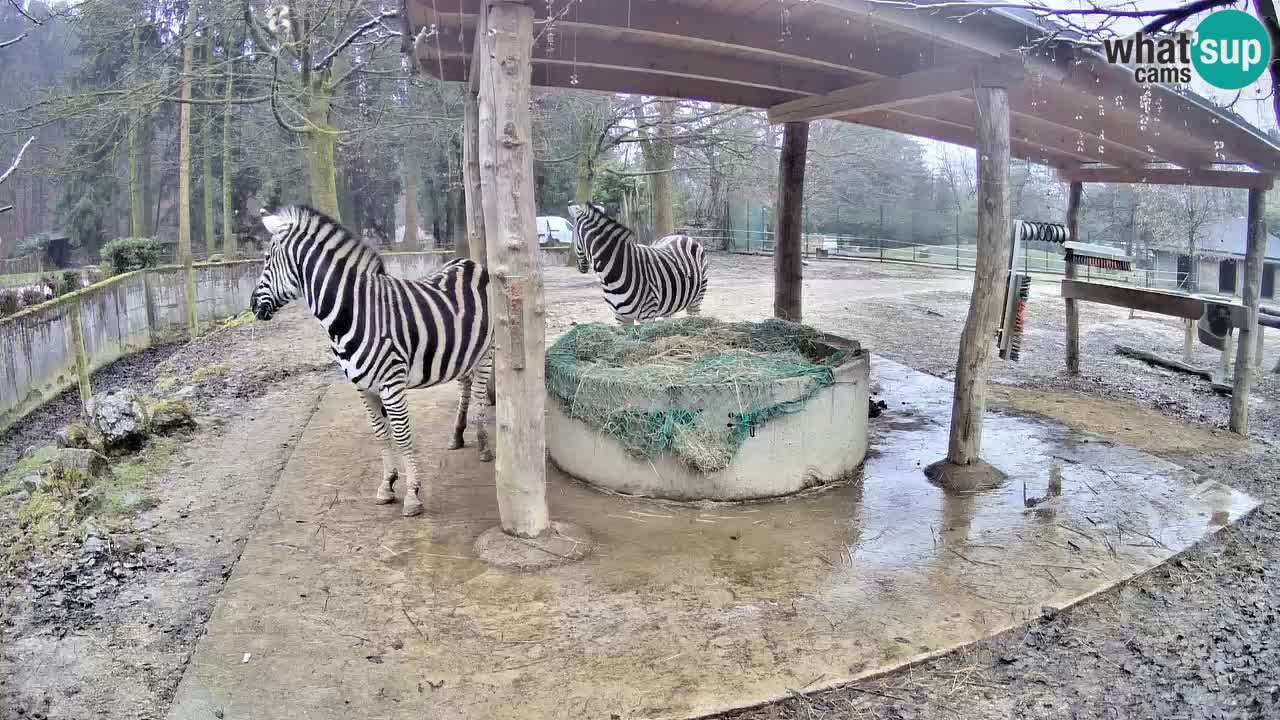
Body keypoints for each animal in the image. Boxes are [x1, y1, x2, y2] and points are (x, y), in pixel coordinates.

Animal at [250, 204, 494, 512]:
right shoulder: (362, 386)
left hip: (487, 351)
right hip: (463, 352)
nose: (252, 307)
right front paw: (387, 485)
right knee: (465, 386)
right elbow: (380, 433)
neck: (354, 312)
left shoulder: (391, 383)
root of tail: (471, 263)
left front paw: (412, 494)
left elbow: (401, 435)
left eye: (267, 259)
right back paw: (457, 435)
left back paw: (484, 446)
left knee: (480, 395)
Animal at [570, 202, 711, 325]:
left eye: (573, 234)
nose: (581, 268)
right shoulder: (621, 317)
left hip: (697, 299)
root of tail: (683, 236)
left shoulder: (647, 315)